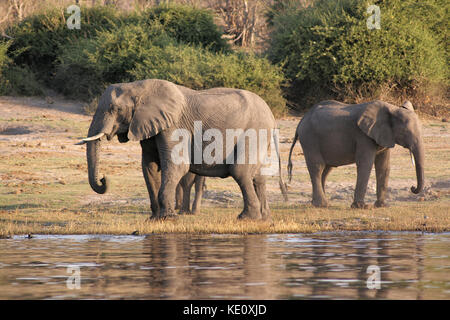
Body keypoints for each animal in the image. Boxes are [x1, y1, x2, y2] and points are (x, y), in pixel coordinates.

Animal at [77, 79, 286, 221]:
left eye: (114, 109)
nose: (104, 179)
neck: (138, 86)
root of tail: (272, 116)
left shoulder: (173, 126)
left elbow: (176, 166)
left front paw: (168, 218)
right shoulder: (150, 126)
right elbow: (149, 167)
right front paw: (154, 219)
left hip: (255, 130)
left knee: (240, 171)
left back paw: (246, 218)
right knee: (257, 176)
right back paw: (264, 218)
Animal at [288, 100, 426, 210]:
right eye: (404, 132)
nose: (412, 187)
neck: (392, 109)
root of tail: (301, 121)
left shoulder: (385, 136)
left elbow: (384, 167)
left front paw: (383, 206)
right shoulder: (363, 136)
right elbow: (366, 164)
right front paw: (361, 207)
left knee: (326, 170)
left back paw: (318, 203)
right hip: (309, 139)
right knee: (318, 167)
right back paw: (322, 205)